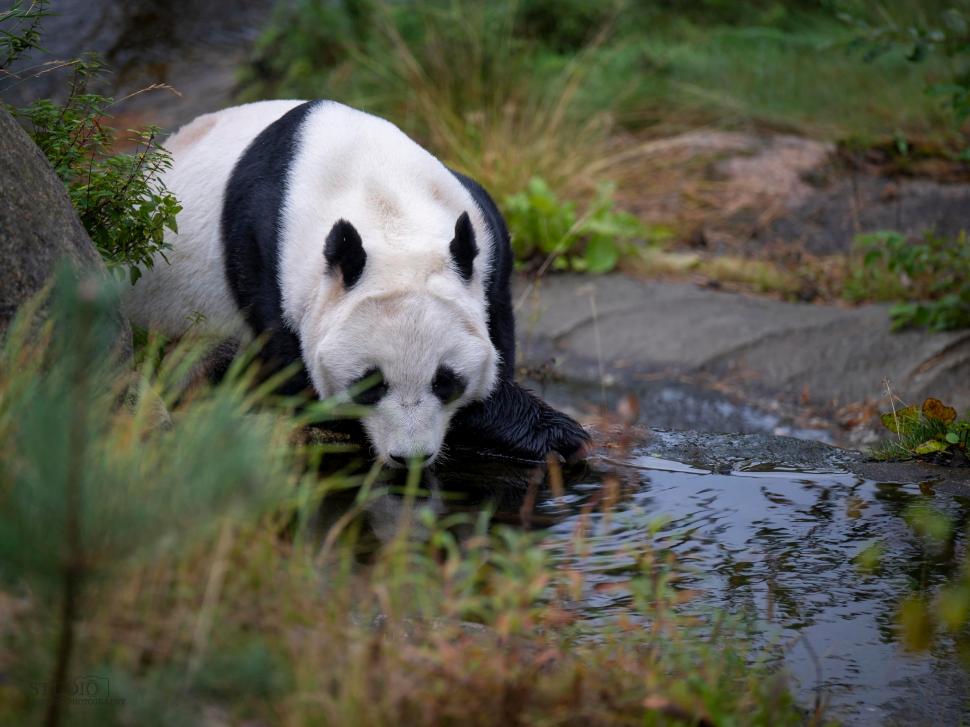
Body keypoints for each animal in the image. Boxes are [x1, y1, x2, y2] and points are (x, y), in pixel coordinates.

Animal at [126, 100, 589, 467]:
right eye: (370, 384)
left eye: (445, 380)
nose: (410, 457)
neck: (382, 201)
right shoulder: (260, 259)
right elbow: (296, 382)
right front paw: (548, 431)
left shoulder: (486, 241)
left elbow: (497, 335)